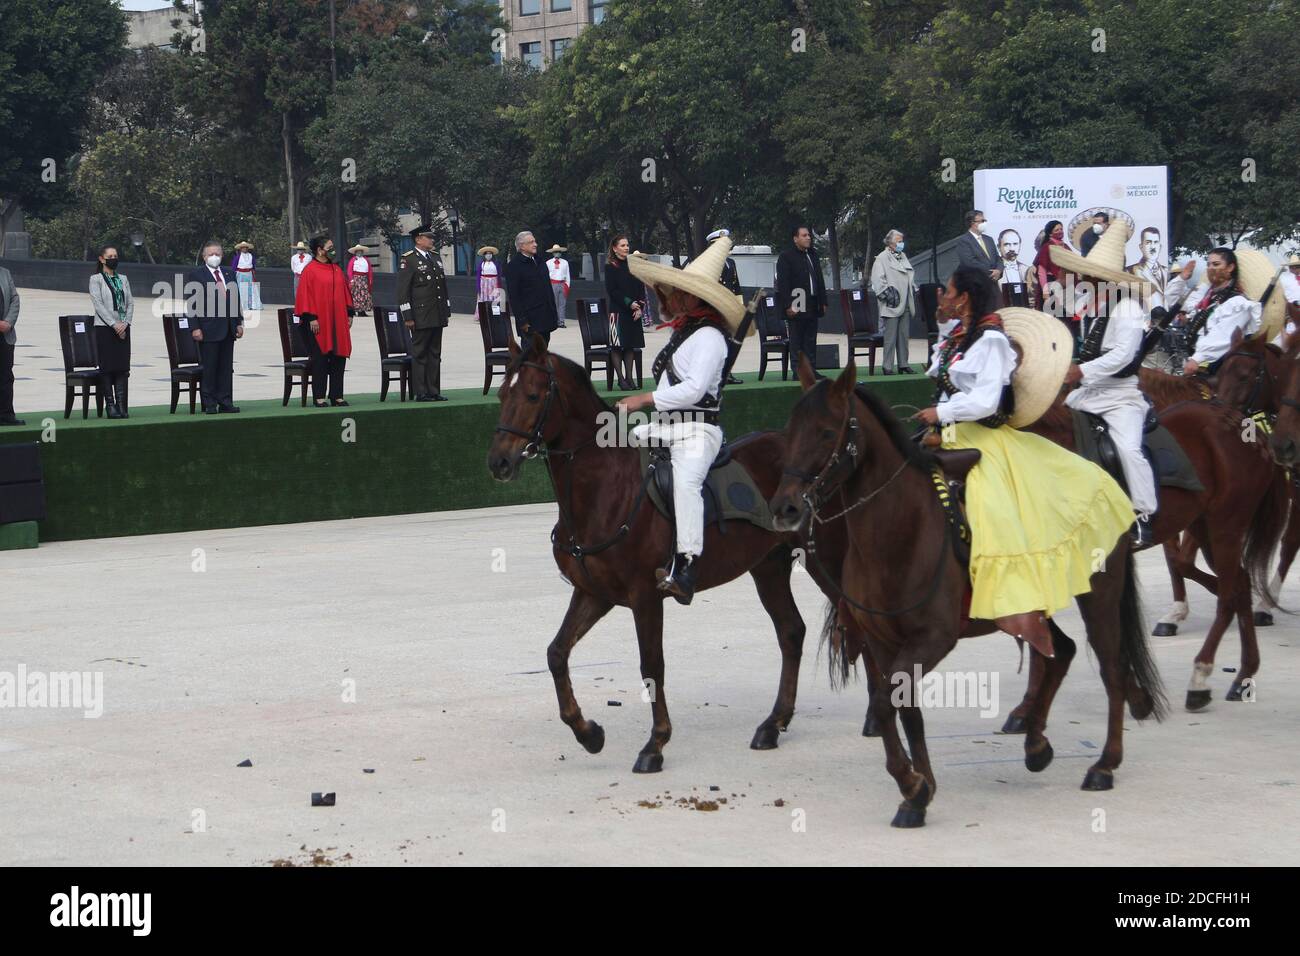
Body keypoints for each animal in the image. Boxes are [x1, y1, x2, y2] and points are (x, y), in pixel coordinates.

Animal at [486, 335, 873, 780]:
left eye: (533, 395)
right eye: (502, 393)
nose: (498, 462)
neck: (605, 489)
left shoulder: (645, 596)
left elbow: (652, 666)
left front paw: (655, 744)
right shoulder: (594, 593)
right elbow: (556, 653)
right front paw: (588, 732)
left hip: (825, 560)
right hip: (768, 567)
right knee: (791, 632)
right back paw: (773, 724)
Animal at [764, 358, 1164, 832]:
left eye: (827, 433)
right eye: (789, 430)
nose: (785, 508)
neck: (900, 529)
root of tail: (1106, 476)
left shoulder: (933, 639)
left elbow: (885, 704)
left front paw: (914, 786)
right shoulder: (883, 642)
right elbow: (902, 708)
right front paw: (919, 791)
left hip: (1099, 594)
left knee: (1111, 669)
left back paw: (1104, 764)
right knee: (1060, 651)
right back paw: (1036, 745)